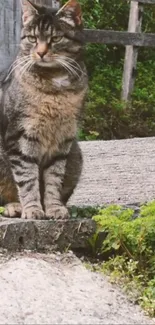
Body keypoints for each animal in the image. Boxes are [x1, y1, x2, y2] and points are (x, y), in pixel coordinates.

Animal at [0, 0, 88, 220]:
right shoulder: (20, 137)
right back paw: (14, 206)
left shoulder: (63, 140)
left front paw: (54, 208)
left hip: (76, 154)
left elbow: (53, 179)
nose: (40, 52)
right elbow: (27, 179)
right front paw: (33, 209)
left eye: (55, 38)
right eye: (32, 38)